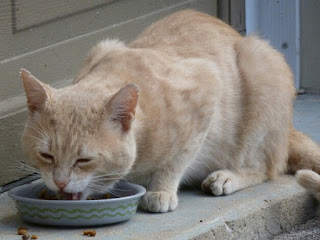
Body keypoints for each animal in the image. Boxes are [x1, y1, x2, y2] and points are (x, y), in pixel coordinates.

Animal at [20, 10, 320, 212]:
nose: (59, 183)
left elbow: (176, 160)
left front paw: (160, 191)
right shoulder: (102, 46)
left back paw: (227, 176)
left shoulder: (207, 90)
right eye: (46, 156)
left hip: (262, 69)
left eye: (84, 160)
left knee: (266, 167)